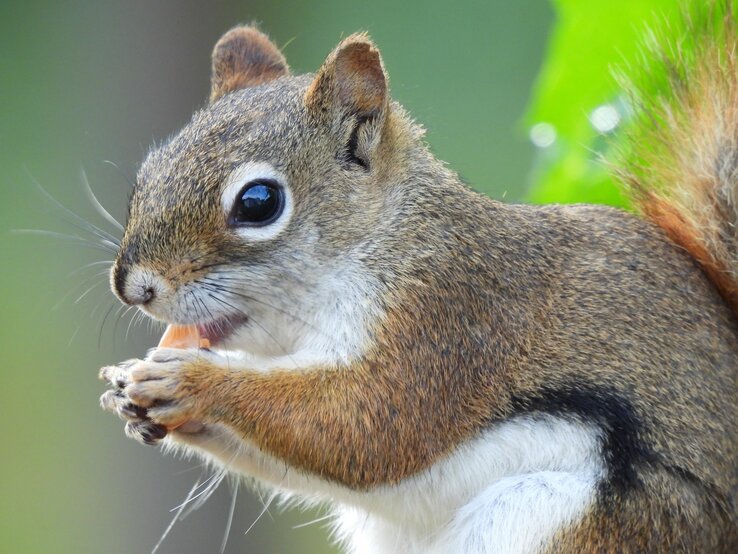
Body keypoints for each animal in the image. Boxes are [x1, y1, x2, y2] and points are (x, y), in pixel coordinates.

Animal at [99, 6, 736, 548]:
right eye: (148, 172)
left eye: (259, 202)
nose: (134, 287)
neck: (379, 240)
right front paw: (132, 392)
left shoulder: (448, 318)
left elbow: (365, 425)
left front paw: (190, 380)